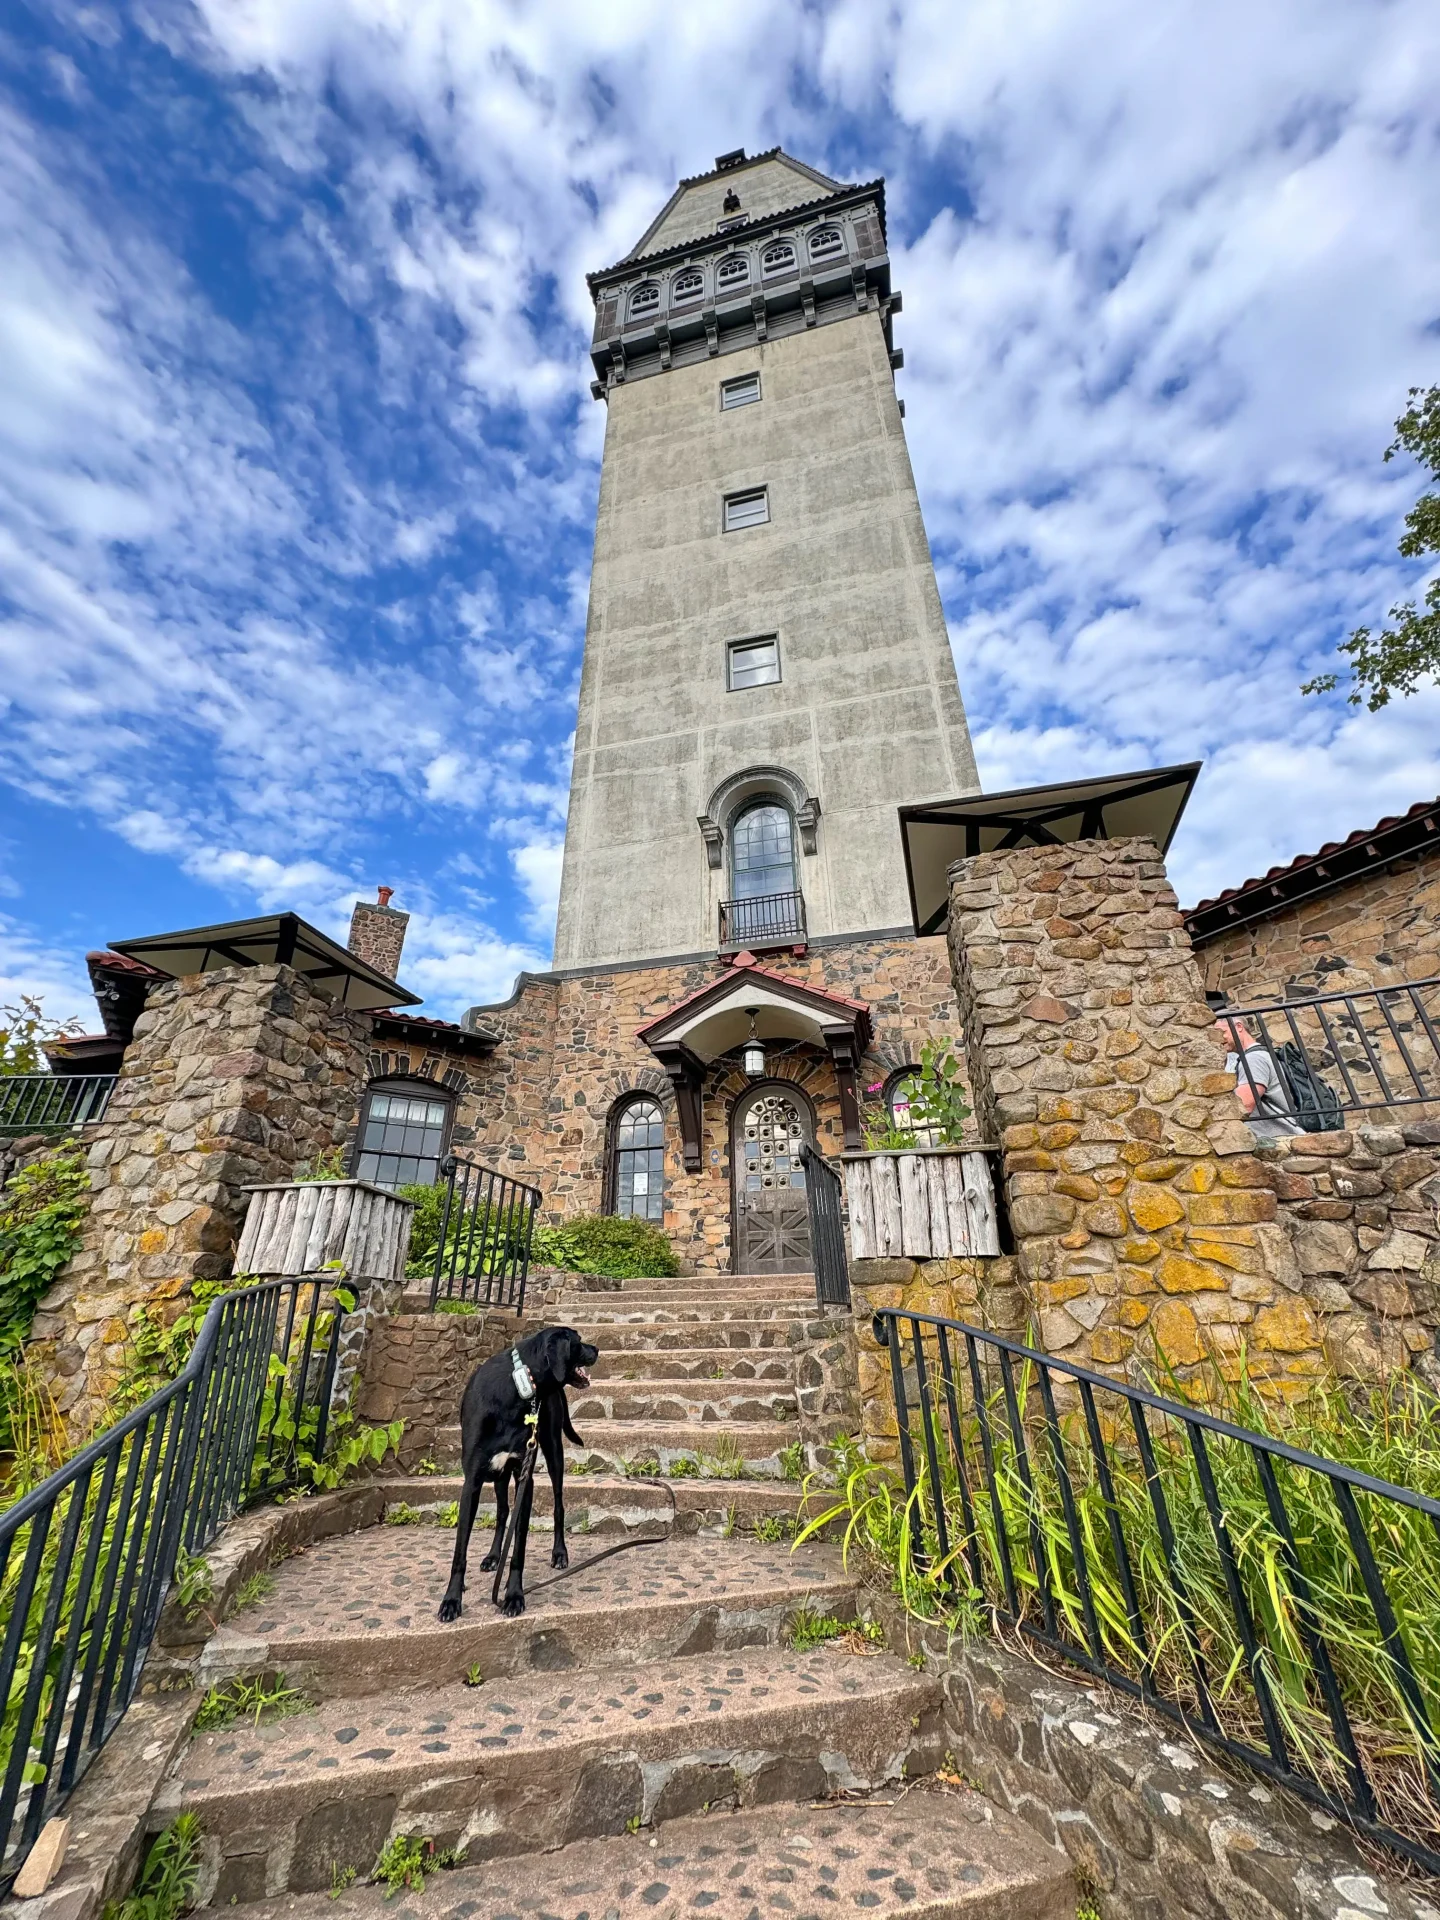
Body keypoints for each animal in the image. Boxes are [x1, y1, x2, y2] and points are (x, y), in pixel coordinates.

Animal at [439, 1320, 599, 1620]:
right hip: (499, 1476)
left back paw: (559, 1553)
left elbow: (519, 1549)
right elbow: (460, 1551)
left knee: (558, 1505)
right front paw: (451, 1600)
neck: (518, 1386)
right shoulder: (472, 1482)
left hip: (553, 1451)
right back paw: (493, 1557)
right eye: (578, 1341)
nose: (596, 1349)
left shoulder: (525, 1478)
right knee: (503, 1513)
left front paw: (513, 1596)